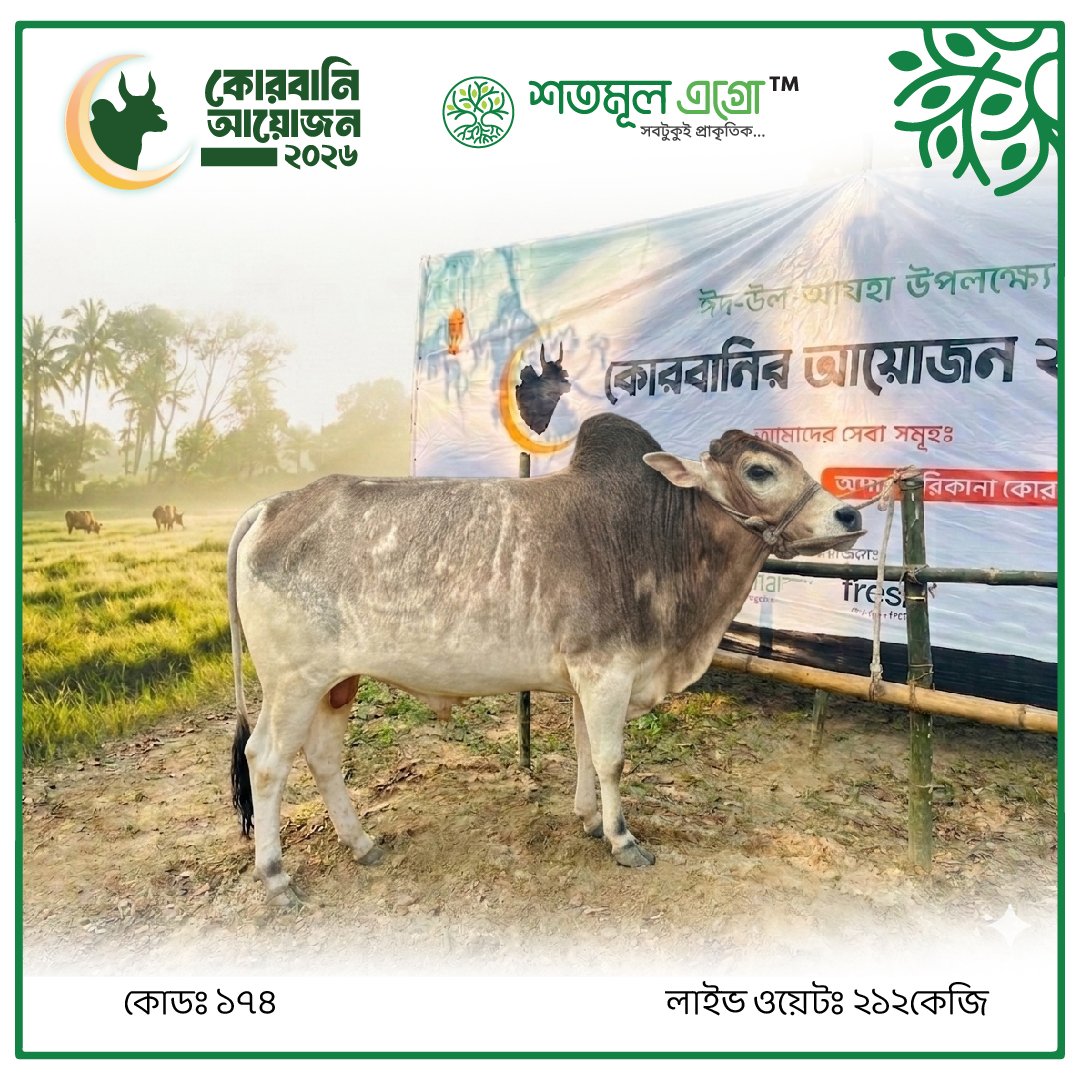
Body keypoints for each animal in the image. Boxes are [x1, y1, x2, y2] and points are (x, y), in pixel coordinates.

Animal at [227, 415, 864, 906]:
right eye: (760, 470)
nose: (850, 516)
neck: (656, 536)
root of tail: (272, 505)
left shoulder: (590, 678)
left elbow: (585, 749)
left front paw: (589, 819)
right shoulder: (606, 672)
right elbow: (611, 759)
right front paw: (623, 839)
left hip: (336, 682)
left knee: (323, 758)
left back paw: (362, 844)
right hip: (292, 683)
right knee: (267, 761)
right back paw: (277, 879)